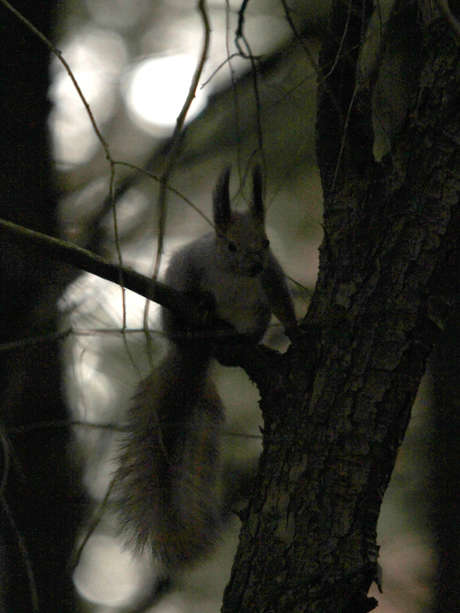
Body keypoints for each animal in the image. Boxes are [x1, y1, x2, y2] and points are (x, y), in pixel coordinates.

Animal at [114, 166, 297, 569]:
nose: (254, 264)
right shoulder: (191, 265)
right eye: (229, 245)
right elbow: (190, 285)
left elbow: (282, 301)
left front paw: (296, 330)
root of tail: (196, 353)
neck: (235, 277)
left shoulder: (272, 279)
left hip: (254, 313)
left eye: (266, 242)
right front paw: (204, 299)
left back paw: (241, 344)